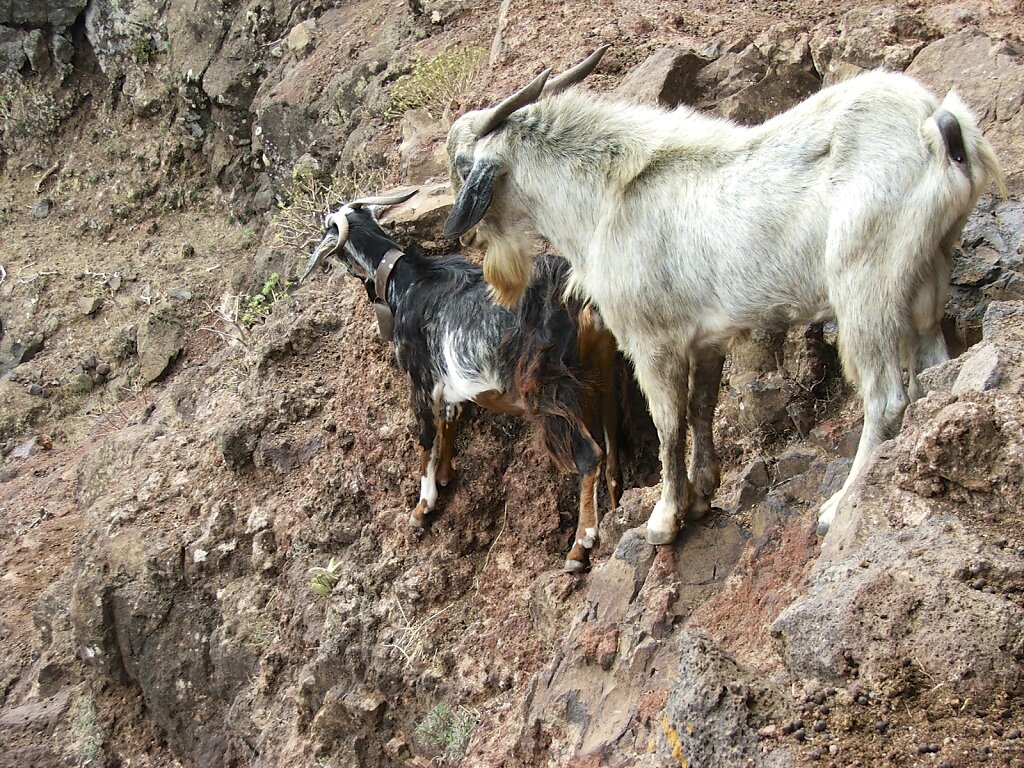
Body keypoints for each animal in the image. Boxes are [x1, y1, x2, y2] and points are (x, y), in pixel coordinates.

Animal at [301, 189, 622, 569]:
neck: (407, 282)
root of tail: (578, 299)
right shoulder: (450, 385)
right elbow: (449, 421)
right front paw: (444, 475)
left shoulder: (420, 379)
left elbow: (425, 436)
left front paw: (422, 508)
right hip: (604, 372)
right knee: (613, 454)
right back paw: (615, 519)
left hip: (549, 390)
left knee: (590, 455)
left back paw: (579, 546)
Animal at [444, 46, 1003, 540]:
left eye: (462, 165)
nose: (467, 240)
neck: (608, 196)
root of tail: (937, 123)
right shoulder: (707, 339)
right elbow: (702, 408)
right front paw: (702, 495)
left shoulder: (653, 342)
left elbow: (669, 424)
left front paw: (664, 520)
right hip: (929, 267)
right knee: (931, 362)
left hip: (866, 283)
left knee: (886, 396)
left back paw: (838, 506)